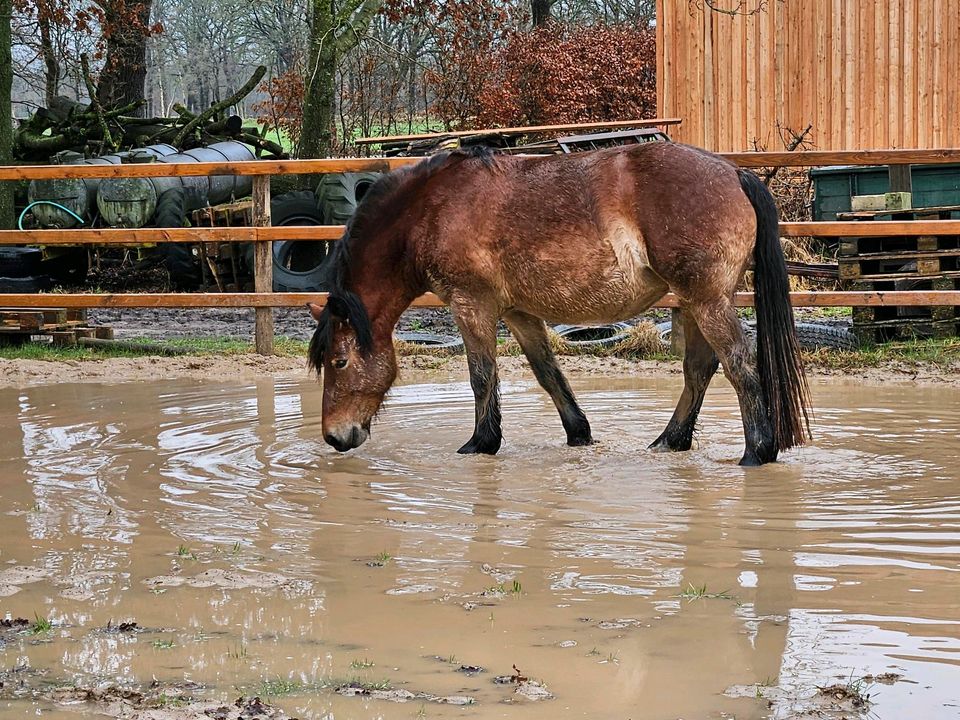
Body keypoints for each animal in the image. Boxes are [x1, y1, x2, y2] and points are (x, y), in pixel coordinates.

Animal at [306, 143, 808, 464]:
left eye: (340, 361)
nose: (334, 437)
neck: (432, 209)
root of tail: (734, 172)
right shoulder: (517, 312)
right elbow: (547, 372)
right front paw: (578, 433)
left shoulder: (472, 305)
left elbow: (481, 375)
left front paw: (481, 443)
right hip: (696, 301)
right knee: (699, 370)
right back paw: (671, 440)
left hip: (707, 300)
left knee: (739, 365)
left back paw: (757, 452)